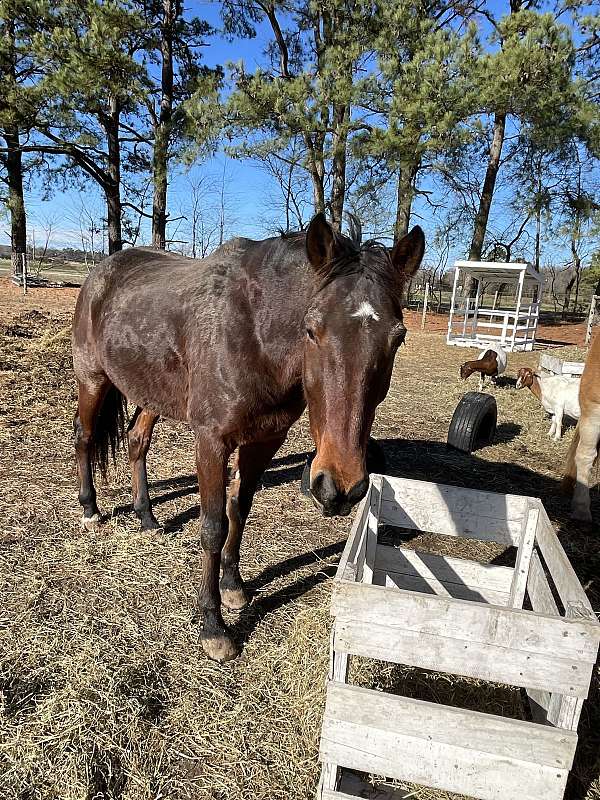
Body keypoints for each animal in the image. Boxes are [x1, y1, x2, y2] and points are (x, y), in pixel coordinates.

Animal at [71, 211, 426, 656]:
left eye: (399, 338)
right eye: (312, 330)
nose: (340, 487)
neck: (255, 332)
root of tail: (101, 272)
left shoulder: (265, 440)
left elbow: (239, 511)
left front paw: (233, 587)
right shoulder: (211, 442)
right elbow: (213, 526)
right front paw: (213, 626)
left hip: (152, 393)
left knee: (138, 442)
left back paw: (147, 517)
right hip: (92, 379)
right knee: (84, 437)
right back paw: (89, 510)